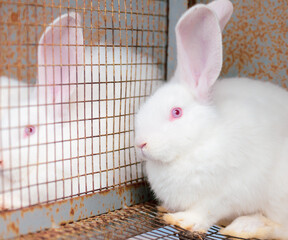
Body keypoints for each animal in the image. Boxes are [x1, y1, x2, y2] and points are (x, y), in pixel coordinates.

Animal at [135, 0, 288, 239]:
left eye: (176, 112)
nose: (141, 144)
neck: (202, 138)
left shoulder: (227, 192)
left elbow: (206, 211)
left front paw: (182, 220)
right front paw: (166, 209)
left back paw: (246, 227)